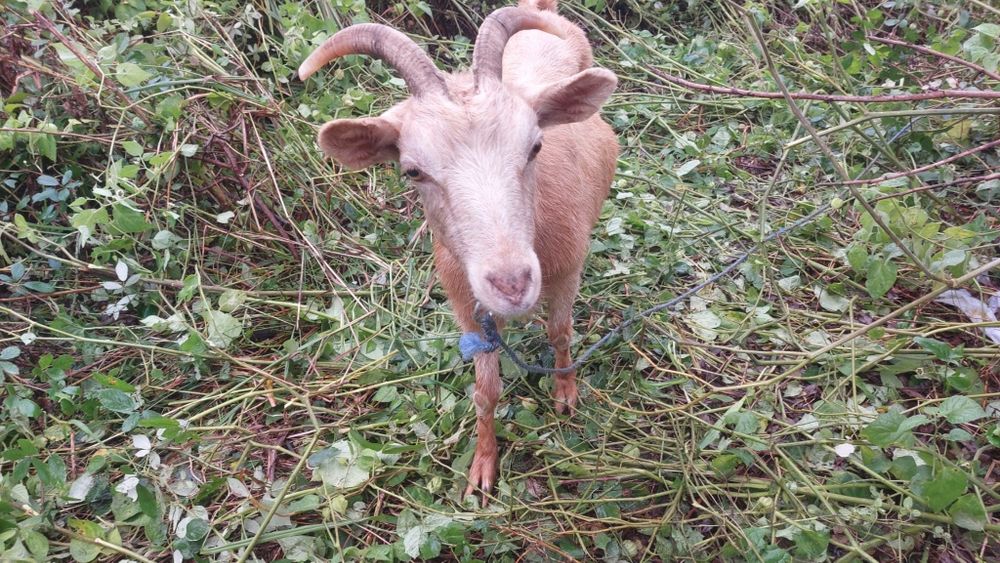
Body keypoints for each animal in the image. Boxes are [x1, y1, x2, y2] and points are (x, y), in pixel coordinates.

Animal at [299, 0, 618, 501]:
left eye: (535, 146)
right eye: (412, 170)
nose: (512, 283)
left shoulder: (568, 268)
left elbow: (560, 332)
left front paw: (566, 392)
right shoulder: (468, 308)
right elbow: (485, 391)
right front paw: (482, 468)